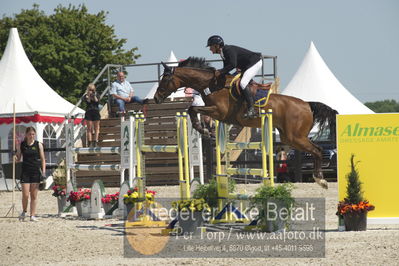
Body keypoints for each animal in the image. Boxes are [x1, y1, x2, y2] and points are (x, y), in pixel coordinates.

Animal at [154, 57, 338, 188]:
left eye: (165, 80)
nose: (156, 99)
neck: (212, 84)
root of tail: (307, 104)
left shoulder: (218, 111)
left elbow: (193, 109)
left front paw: (202, 129)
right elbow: (191, 109)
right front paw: (206, 130)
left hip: (296, 137)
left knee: (318, 150)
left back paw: (321, 180)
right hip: (289, 138)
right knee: (315, 150)